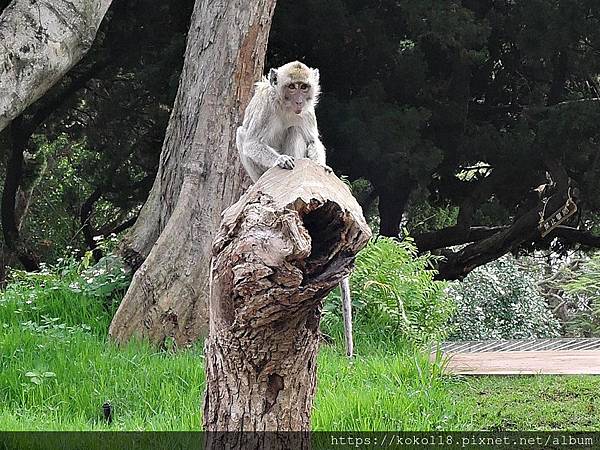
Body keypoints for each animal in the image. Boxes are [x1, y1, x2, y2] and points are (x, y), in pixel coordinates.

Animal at [236, 59, 356, 356]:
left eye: (304, 87)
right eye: (292, 87)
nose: (300, 100)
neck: (285, 106)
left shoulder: (309, 113)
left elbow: (311, 140)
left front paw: (323, 167)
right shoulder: (266, 106)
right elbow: (252, 141)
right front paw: (281, 161)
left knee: (295, 131)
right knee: (243, 134)